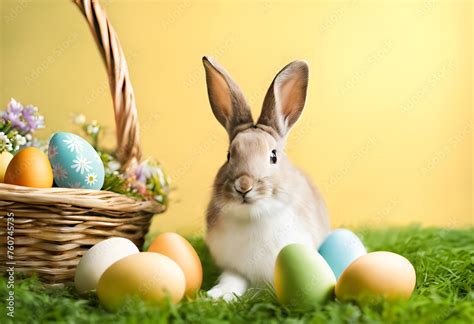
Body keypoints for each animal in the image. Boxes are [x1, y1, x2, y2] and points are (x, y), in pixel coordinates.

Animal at [203, 56, 330, 302]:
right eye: (229, 155)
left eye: (273, 156)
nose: (244, 185)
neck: (254, 216)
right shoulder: (234, 268)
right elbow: (232, 279)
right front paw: (217, 296)